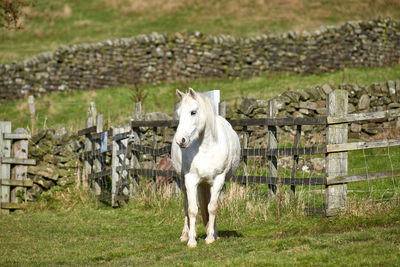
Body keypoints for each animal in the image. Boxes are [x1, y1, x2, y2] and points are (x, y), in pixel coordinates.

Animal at [170, 88, 239, 249]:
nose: (180, 140)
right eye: (178, 114)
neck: (206, 147)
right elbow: (192, 209)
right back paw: (185, 234)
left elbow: (212, 207)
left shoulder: (219, 180)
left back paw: (214, 232)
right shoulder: (190, 180)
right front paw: (191, 240)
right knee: (186, 205)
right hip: (185, 182)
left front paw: (210, 237)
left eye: (193, 112)